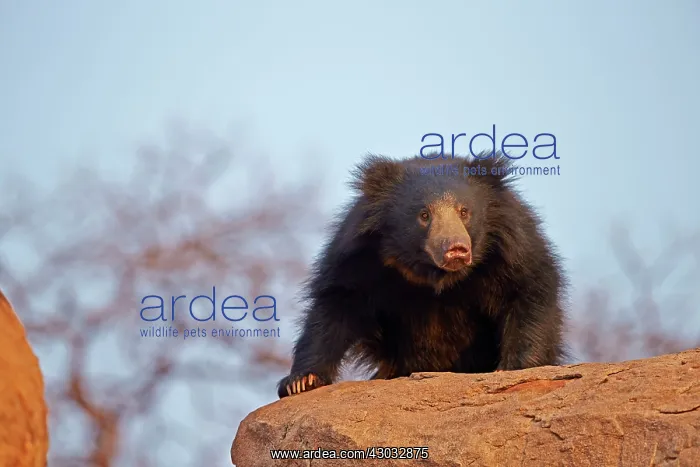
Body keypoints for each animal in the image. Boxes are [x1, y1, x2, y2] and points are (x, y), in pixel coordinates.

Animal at [277, 151, 568, 398]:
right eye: (424, 215)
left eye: (464, 211)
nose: (456, 249)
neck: (432, 272)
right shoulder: (361, 258)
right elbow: (337, 304)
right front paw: (301, 381)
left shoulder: (512, 250)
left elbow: (529, 291)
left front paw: (513, 369)